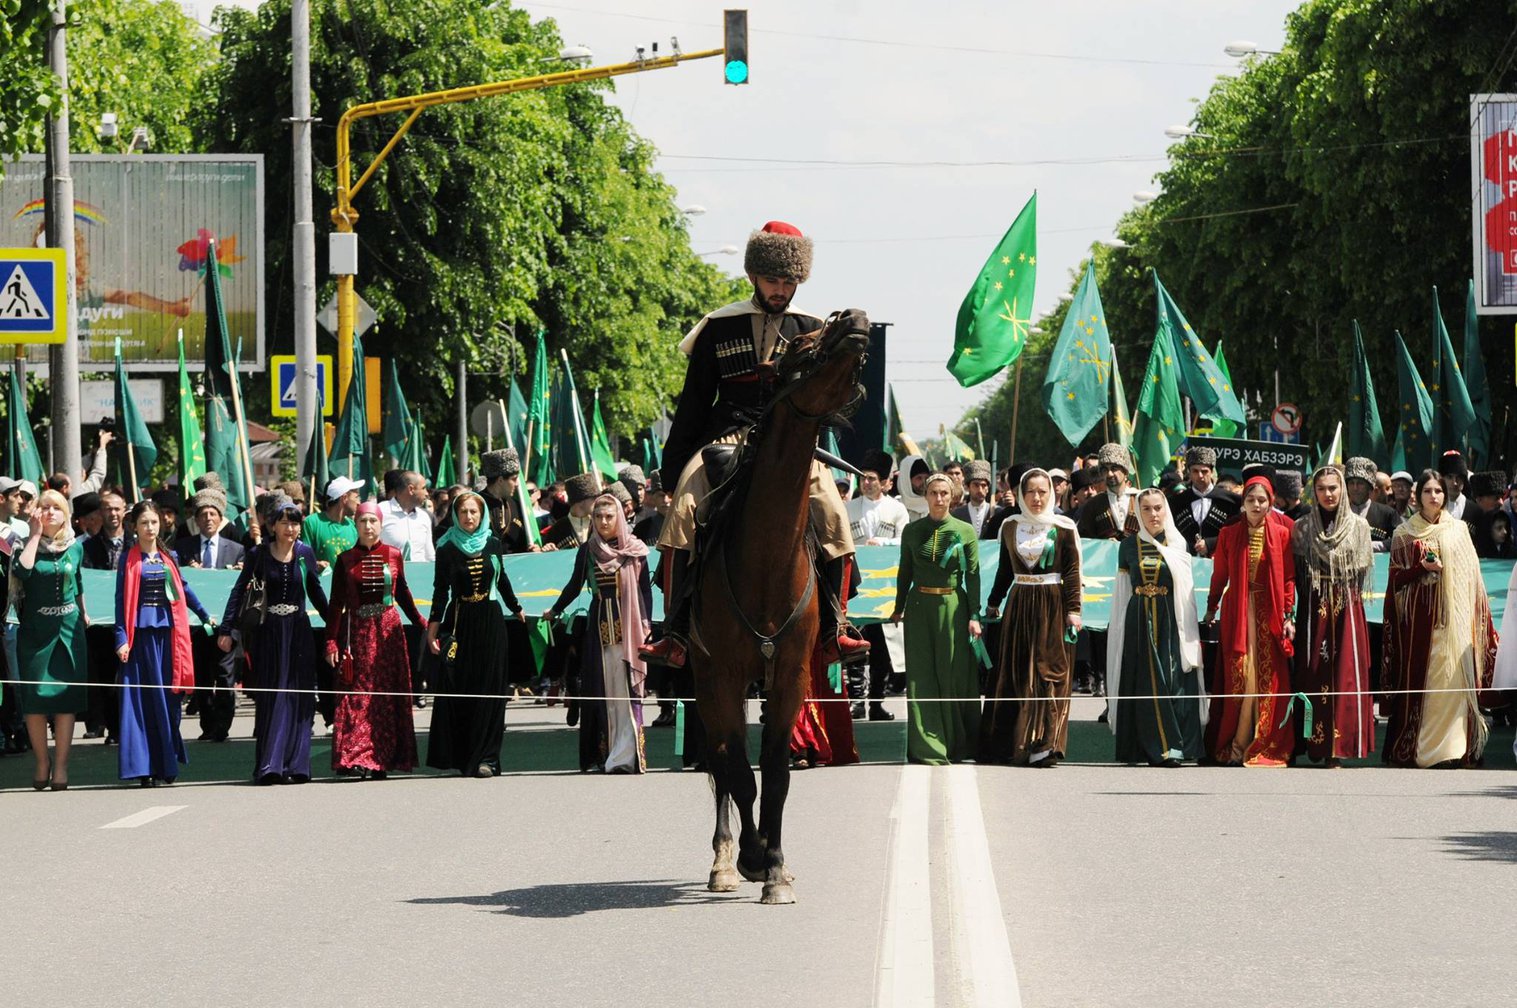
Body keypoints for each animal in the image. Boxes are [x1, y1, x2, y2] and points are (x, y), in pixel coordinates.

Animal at [685, 306, 867, 904]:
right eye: (802, 349)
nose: (854, 317)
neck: (765, 561)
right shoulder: (719, 676)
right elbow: (738, 771)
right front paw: (750, 856)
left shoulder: (789, 674)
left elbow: (777, 770)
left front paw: (776, 866)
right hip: (707, 681)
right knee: (720, 761)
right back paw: (723, 859)